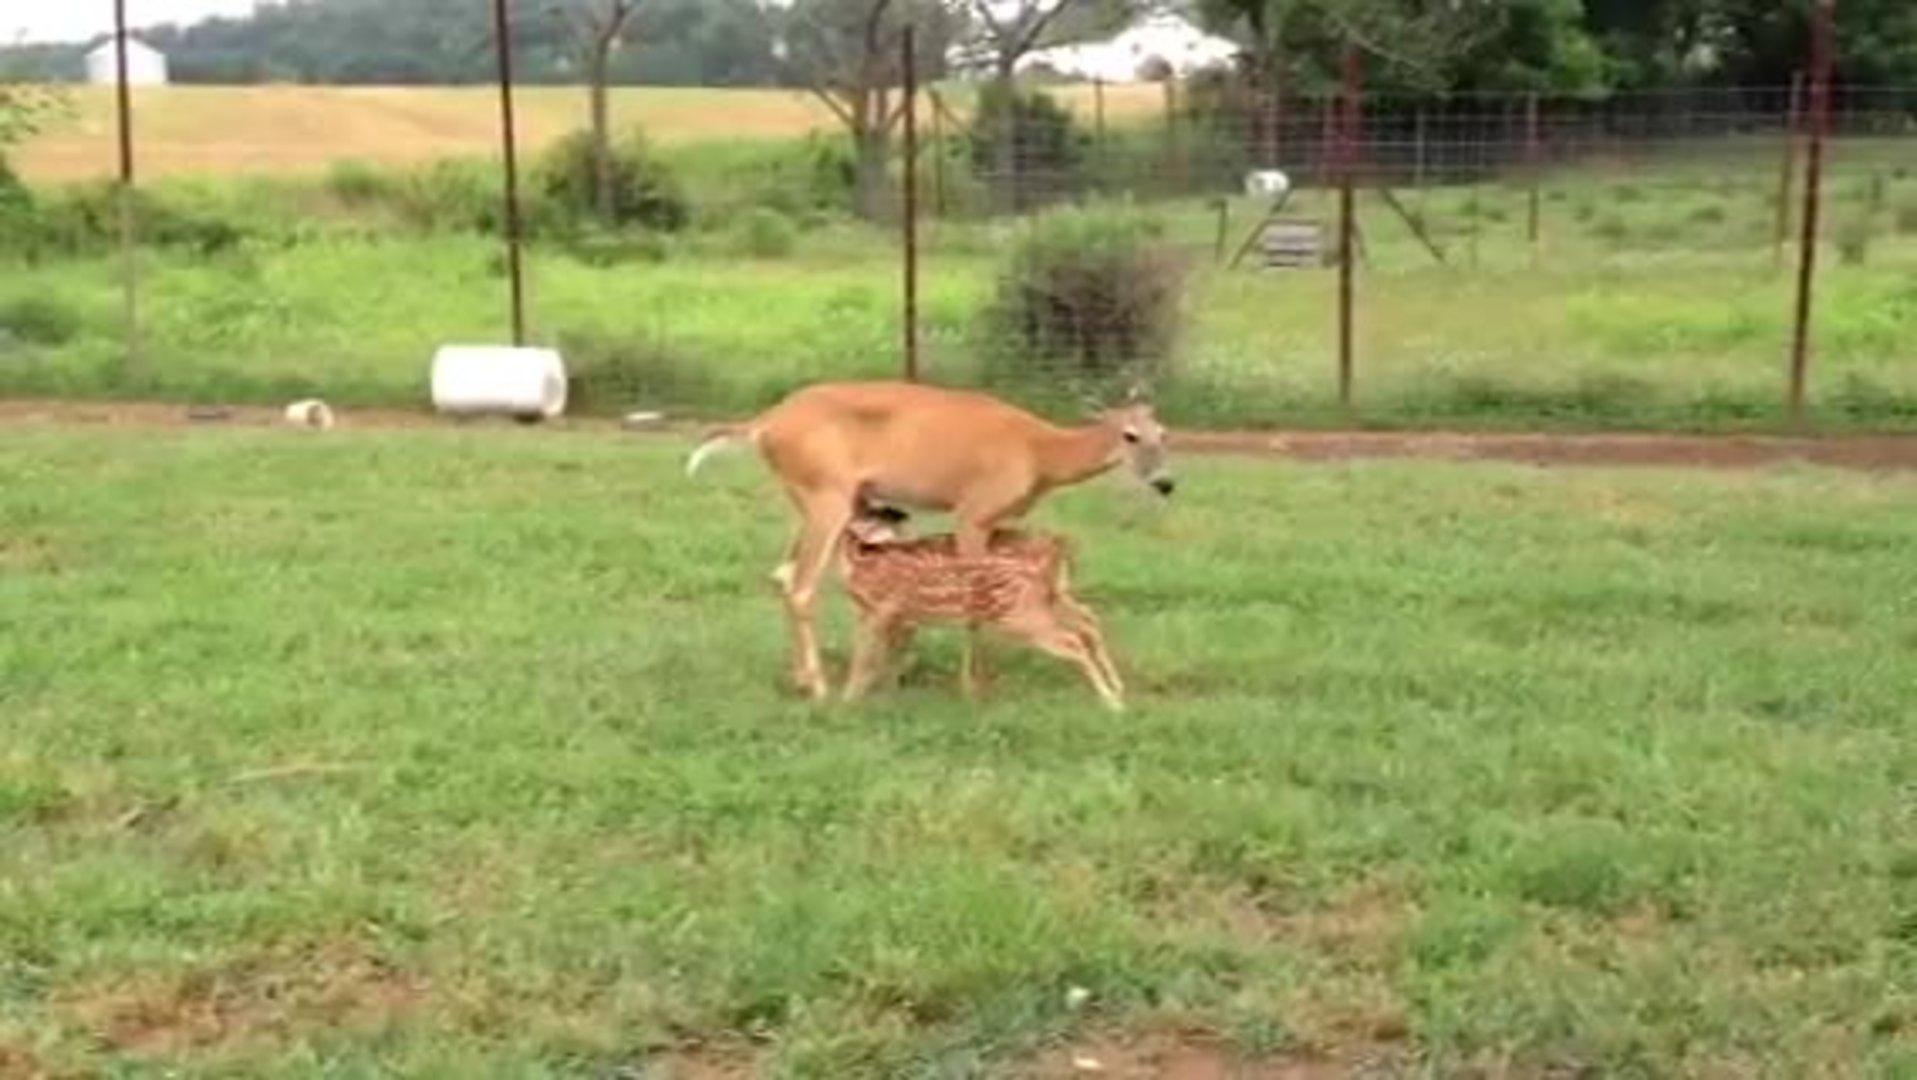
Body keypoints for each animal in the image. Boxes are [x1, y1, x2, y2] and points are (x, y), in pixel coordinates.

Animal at [836, 509, 1125, 711]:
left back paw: (1112, 702)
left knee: (1073, 638)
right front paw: (883, 694)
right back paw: (1117, 690)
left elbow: (865, 658)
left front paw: (848, 700)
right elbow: (886, 656)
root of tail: (1058, 545)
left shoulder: (883, 610)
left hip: (1022, 616)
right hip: (1052, 597)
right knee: (1088, 620)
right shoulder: (892, 616)